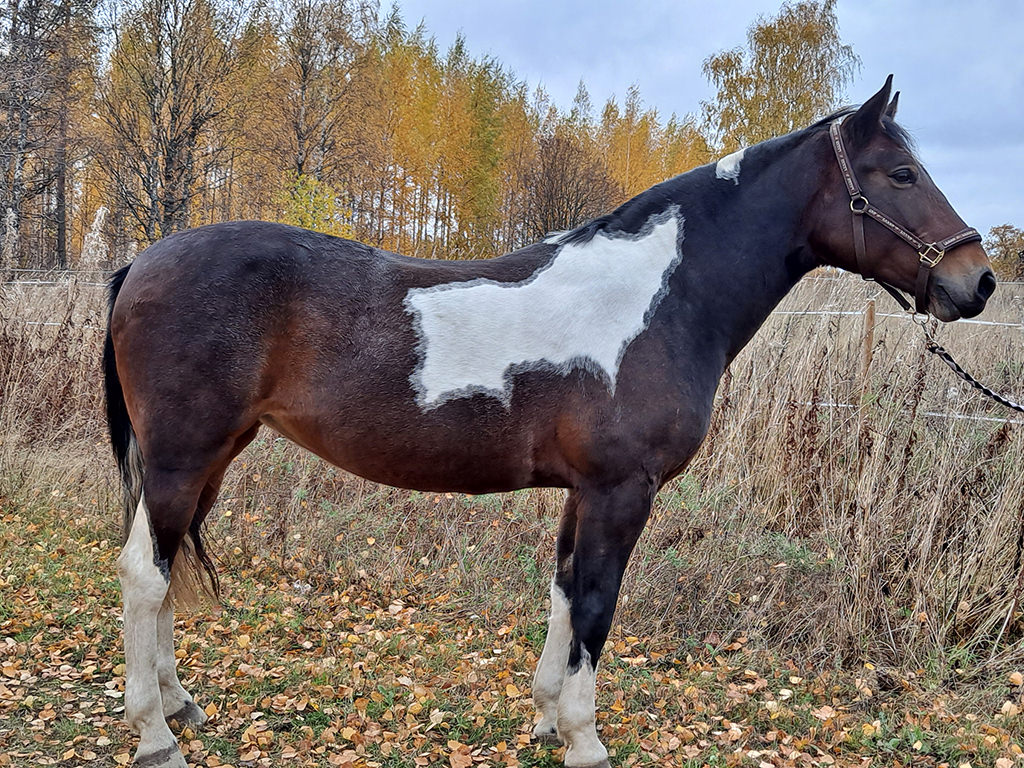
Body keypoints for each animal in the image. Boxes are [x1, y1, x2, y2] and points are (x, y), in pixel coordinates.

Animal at [103, 79, 991, 768]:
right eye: (901, 173)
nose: (976, 280)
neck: (656, 301)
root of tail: (144, 260)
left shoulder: (584, 492)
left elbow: (565, 592)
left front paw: (541, 717)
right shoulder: (620, 491)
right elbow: (596, 603)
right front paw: (585, 739)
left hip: (211, 458)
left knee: (167, 566)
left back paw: (180, 704)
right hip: (182, 457)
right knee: (144, 573)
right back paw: (154, 734)